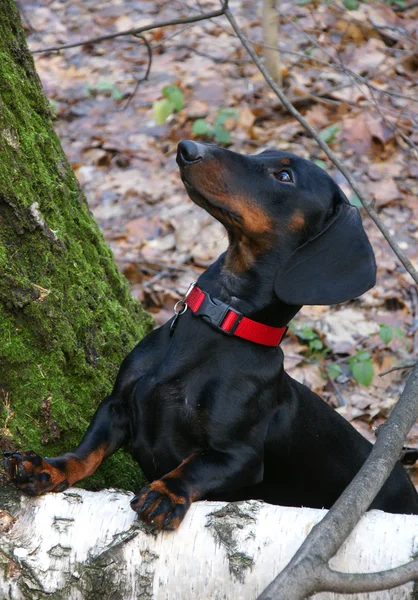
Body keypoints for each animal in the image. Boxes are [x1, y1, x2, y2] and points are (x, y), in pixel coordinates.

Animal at [4, 143, 418, 528]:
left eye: (285, 176)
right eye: (263, 151)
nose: (187, 148)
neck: (218, 322)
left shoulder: (239, 456)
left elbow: (195, 466)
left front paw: (166, 493)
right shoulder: (117, 405)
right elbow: (88, 449)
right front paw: (49, 467)